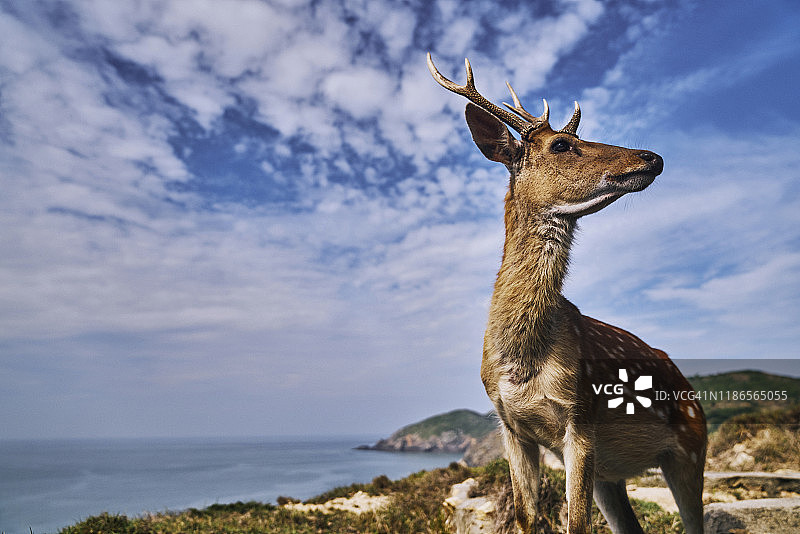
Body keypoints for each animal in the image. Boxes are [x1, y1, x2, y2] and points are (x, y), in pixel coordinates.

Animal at [427, 54, 708, 534]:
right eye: (561, 144)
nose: (652, 156)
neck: (523, 361)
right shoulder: (510, 427)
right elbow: (526, 518)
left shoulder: (581, 414)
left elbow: (576, 523)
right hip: (617, 474)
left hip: (692, 448)